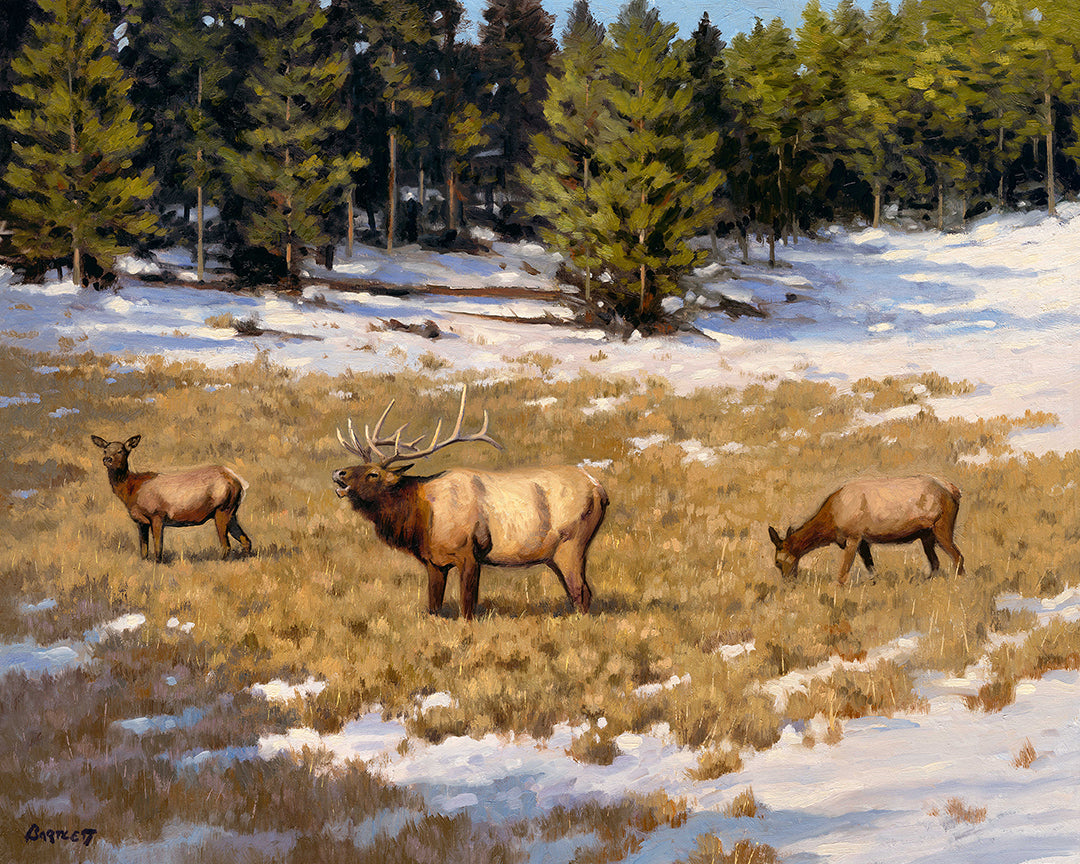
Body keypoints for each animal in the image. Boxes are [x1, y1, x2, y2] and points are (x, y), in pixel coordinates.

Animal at [91, 434, 252, 563]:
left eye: (121, 451)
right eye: (105, 450)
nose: (107, 459)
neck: (132, 490)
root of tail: (239, 482)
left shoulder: (157, 515)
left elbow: (158, 548)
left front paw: (158, 565)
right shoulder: (141, 522)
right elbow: (144, 550)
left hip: (222, 509)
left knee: (226, 545)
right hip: (231, 512)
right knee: (246, 540)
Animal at [332, 387, 608, 620]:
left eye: (373, 474)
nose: (337, 472)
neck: (422, 519)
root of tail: (599, 489)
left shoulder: (469, 553)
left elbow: (467, 608)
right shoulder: (434, 562)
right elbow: (433, 606)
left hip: (572, 543)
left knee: (582, 592)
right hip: (556, 553)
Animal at [769, 475, 964, 584]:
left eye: (777, 562)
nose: (788, 582)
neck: (832, 520)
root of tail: (954, 491)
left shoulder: (853, 536)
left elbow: (843, 572)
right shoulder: (864, 541)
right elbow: (871, 567)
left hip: (942, 527)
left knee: (958, 557)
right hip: (926, 535)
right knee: (935, 563)